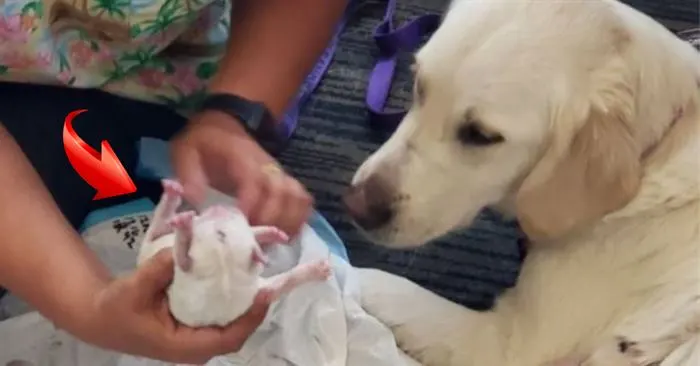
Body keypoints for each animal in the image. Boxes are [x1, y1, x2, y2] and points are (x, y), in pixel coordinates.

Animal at [139, 179, 334, 328]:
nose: (222, 206)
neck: (223, 274)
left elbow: (284, 281)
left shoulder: (255, 292)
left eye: (221, 233)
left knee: (161, 223)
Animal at [344, 1, 700, 364]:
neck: (655, 152)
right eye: (419, 85)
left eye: (481, 135)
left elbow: (374, 282)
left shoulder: (505, 344)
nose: (356, 206)